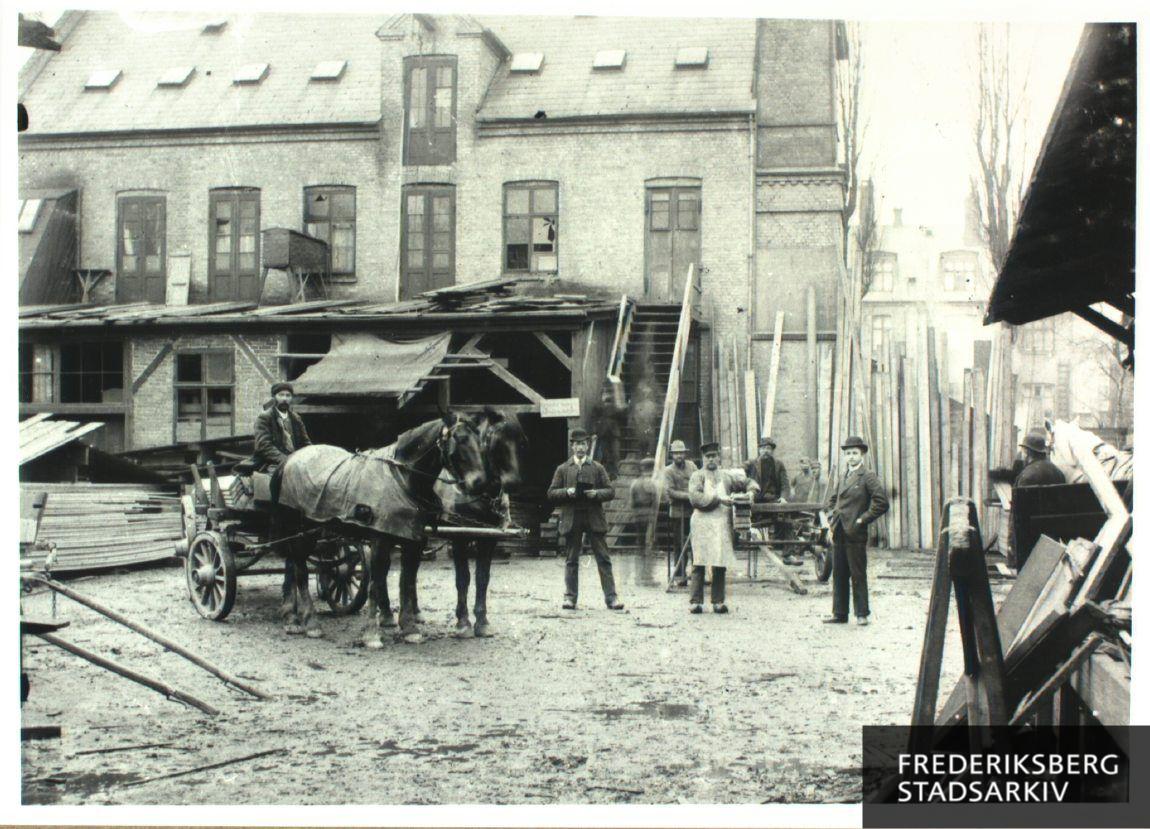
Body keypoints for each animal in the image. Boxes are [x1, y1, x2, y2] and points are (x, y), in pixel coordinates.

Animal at [276, 413, 487, 639]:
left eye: (480, 441)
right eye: (459, 441)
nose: (480, 484)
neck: (400, 478)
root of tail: (289, 460)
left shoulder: (413, 541)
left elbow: (407, 581)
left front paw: (409, 628)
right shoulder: (379, 540)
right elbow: (375, 584)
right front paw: (372, 635)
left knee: (293, 567)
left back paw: (293, 616)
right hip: (299, 533)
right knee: (300, 572)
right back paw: (310, 623)